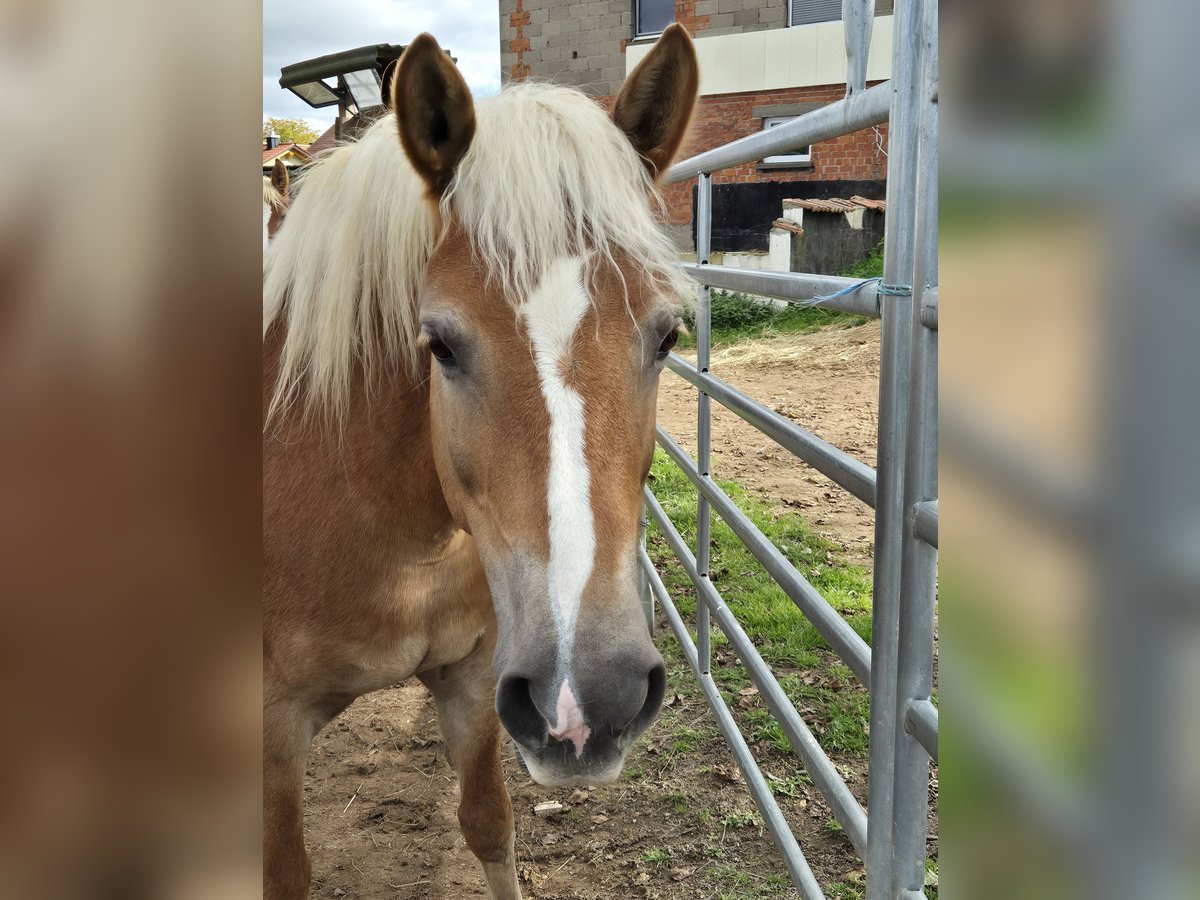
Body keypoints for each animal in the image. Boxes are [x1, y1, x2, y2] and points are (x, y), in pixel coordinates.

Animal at [263, 25, 699, 900]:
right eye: (440, 344)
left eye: (668, 335)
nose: (587, 698)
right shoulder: (268, 731)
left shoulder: (473, 681)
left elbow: (489, 827)